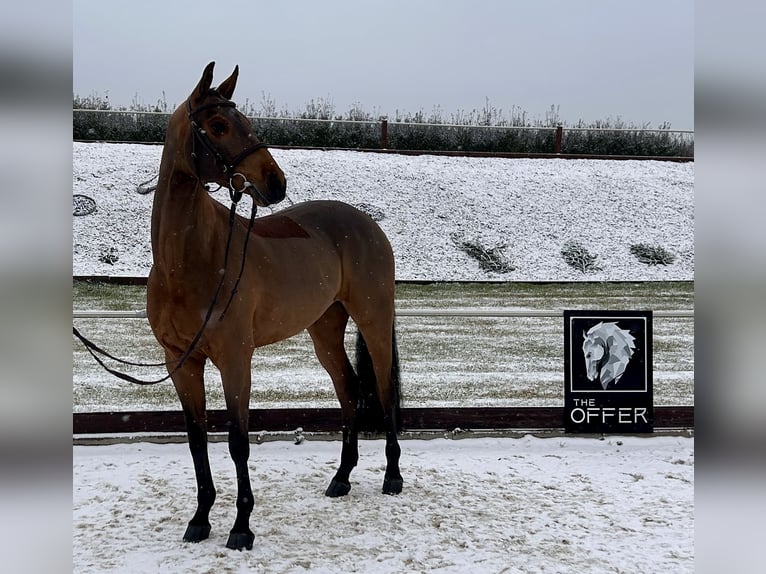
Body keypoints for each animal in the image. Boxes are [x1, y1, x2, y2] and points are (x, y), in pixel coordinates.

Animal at [146, 63, 404, 552]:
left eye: (245, 120)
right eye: (218, 125)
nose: (275, 182)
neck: (188, 260)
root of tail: (366, 222)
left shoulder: (235, 360)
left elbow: (237, 442)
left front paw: (241, 527)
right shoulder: (180, 362)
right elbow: (196, 440)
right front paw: (200, 519)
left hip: (375, 320)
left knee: (382, 390)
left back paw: (393, 477)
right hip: (324, 331)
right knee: (348, 390)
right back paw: (341, 478)